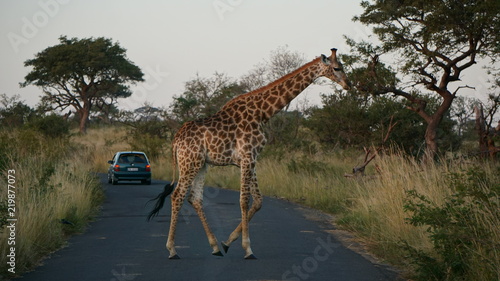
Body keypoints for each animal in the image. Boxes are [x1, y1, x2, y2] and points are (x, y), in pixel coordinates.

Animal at [147, 47, 352, 258]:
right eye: (337, 68)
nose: (348, 84)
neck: (263, 112)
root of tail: (175, 140)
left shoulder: (251, 159)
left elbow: (258, 201)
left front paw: (227, 242)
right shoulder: (247, 157)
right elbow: (244, 200)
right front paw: (247, 248)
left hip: (201, 164)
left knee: (194, 198)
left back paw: (215, 247)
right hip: (189, 163)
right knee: (177, 196)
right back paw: (172, 249)